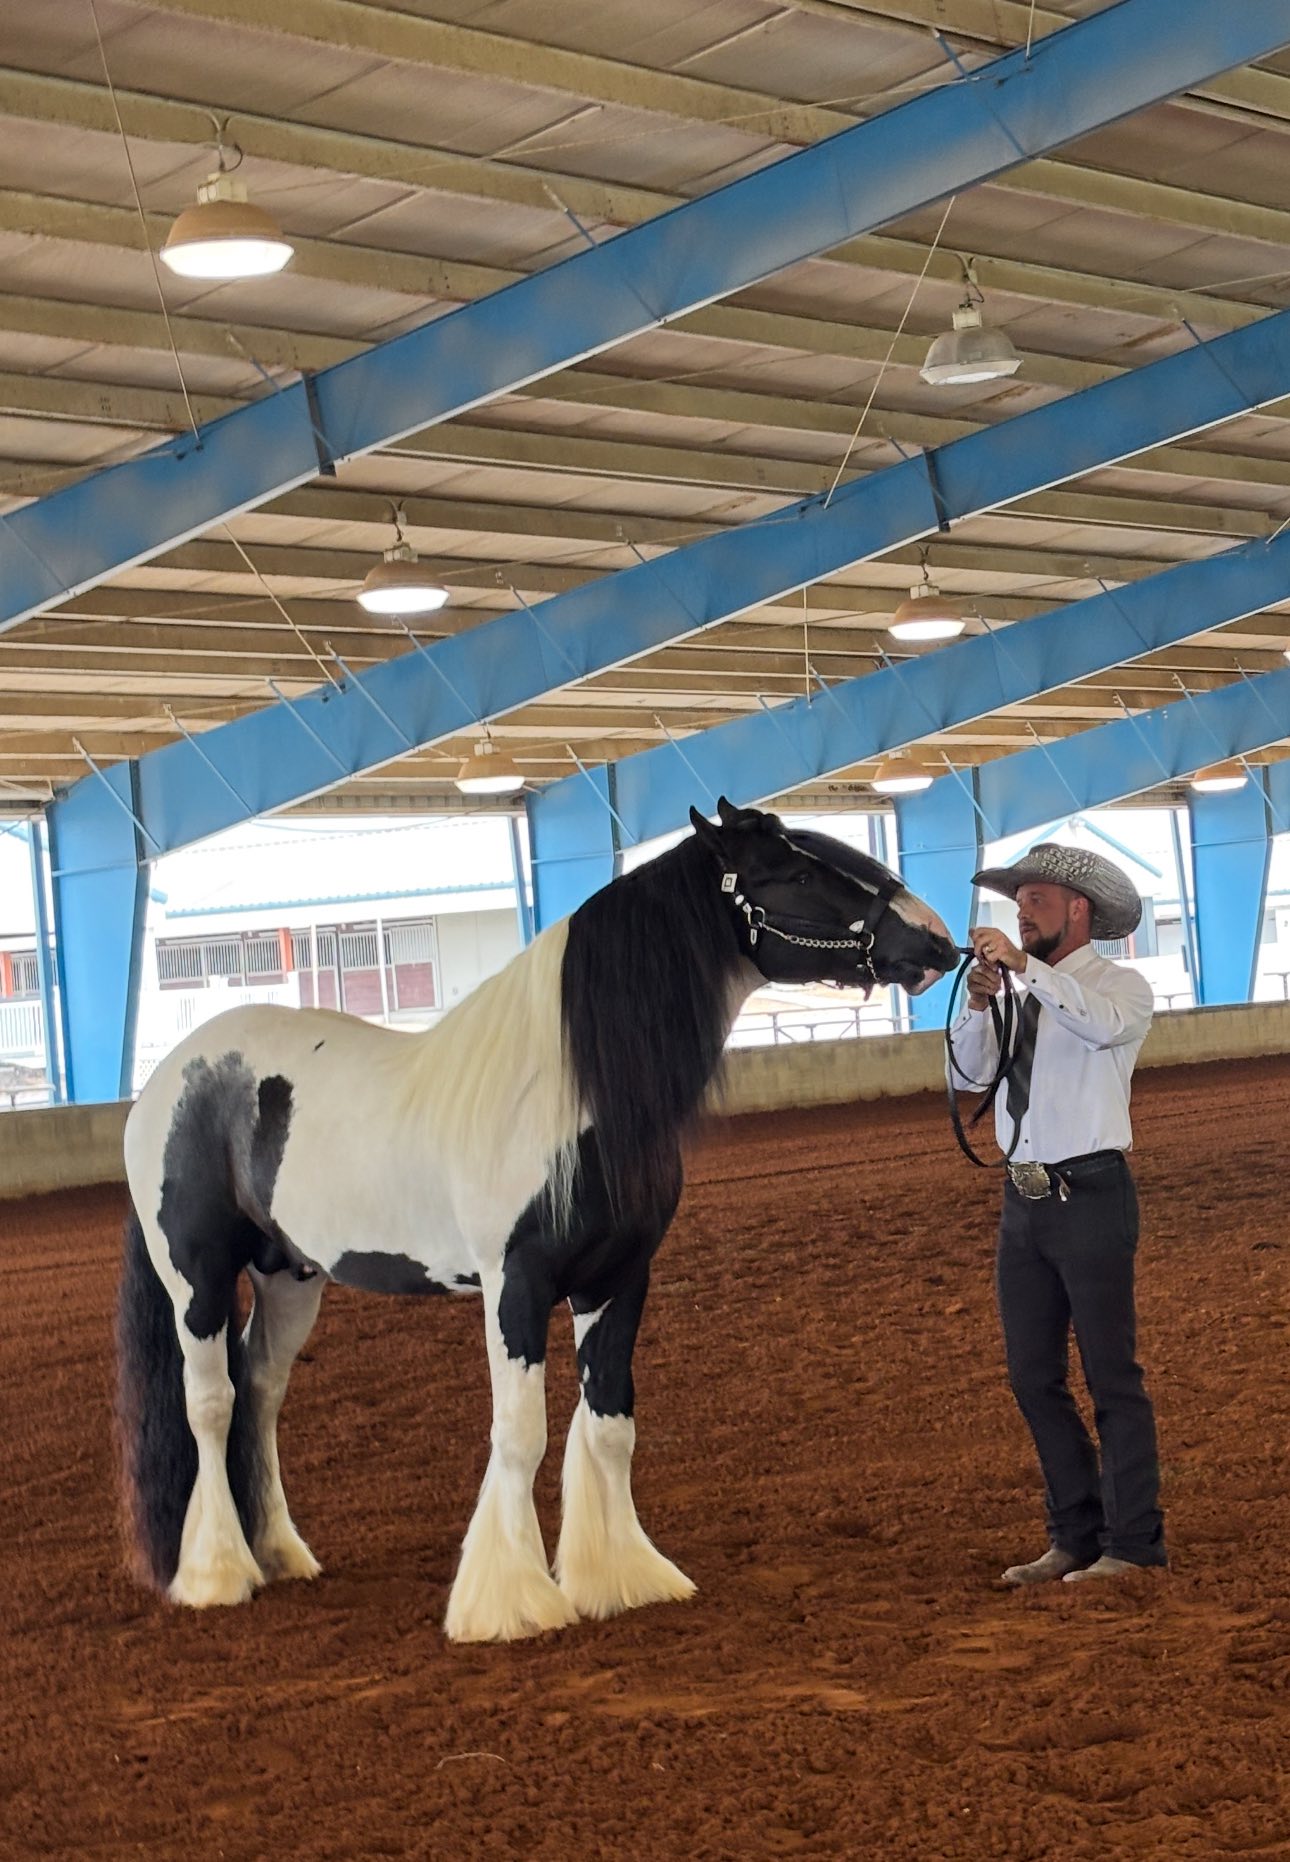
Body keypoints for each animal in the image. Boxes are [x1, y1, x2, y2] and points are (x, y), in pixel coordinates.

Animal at [116, 797, 958, 1643]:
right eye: (795, 872)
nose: (939, 942)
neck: (568, 1098)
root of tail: (170, 1078)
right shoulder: (514, 1284)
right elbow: (522, 1435)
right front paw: (510, 1602)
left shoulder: (618, 1279)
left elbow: (610, 1425)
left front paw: (621, 1578)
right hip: (197, 1278)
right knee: (211, 1404)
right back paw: (218, 1573)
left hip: (290, 1274)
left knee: (260, 1391)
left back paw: (280, 1553)